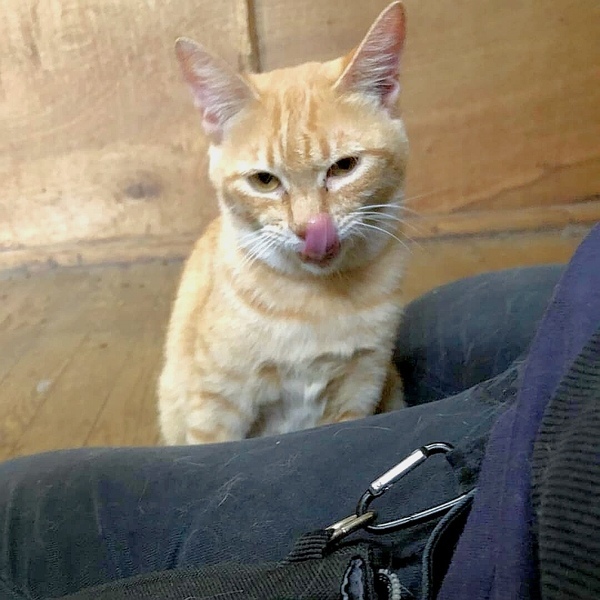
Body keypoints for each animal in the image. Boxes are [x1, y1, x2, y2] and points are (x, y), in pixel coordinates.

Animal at [158, 1, 410, 445]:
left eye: (344, 166)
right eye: (264, 180)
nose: (311, 229)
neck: (314, 303)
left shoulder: (362, 387)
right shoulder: (216, 405)